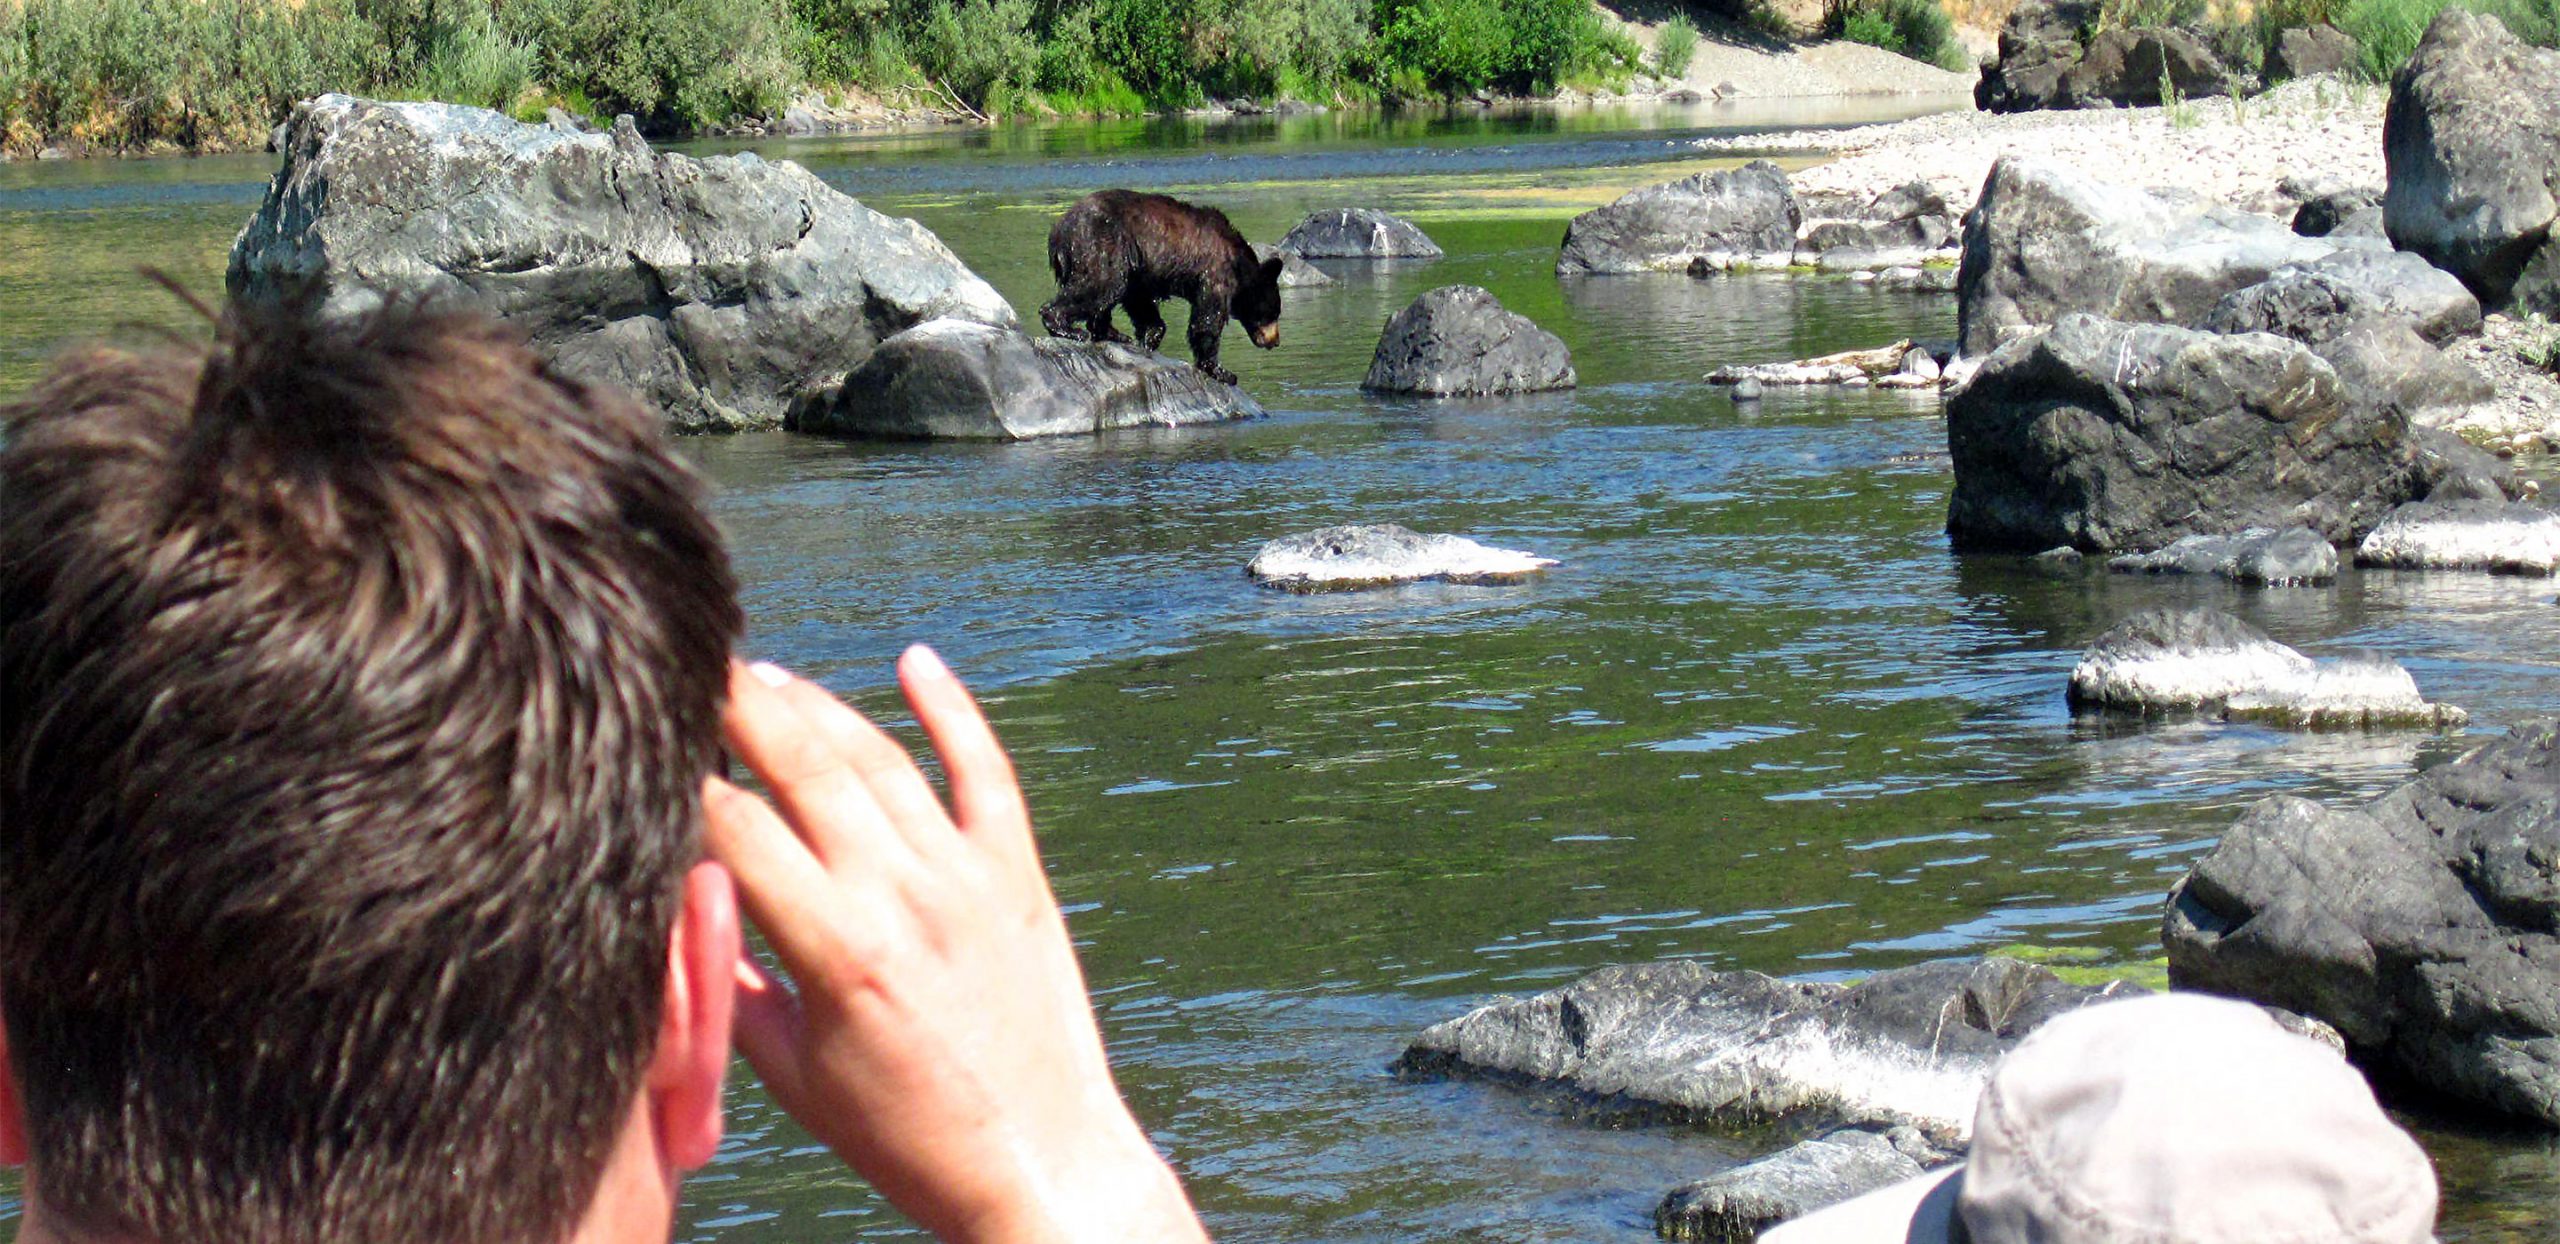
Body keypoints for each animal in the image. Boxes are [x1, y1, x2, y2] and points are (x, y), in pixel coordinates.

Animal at [1039, 189, 1285, 386]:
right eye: (1274, 312)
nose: (1275, 341)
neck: (1238, 264)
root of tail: (1058, 232)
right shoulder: (1214, 273)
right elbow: (1206, 320)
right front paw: (1222, 372)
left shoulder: (1139, 269)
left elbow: (1140, 303)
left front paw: (1149, 338)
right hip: (1101, 245)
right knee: (1099, 286)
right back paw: (1066, 327)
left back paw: (1114, 334)